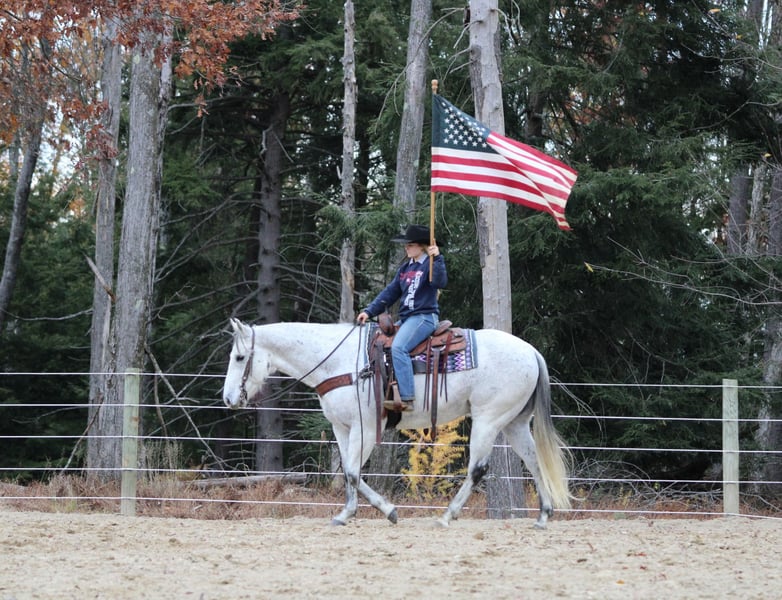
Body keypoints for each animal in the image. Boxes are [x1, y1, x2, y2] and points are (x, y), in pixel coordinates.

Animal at [222, 318, 572, 528]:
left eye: (239, 357)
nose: (227, 398)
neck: (341, 362)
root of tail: (531, 352)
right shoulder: (342, 428)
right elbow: (349, 472)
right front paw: (357, 512)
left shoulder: (363, 428)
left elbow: (352, 471)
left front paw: (373, 511)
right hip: (515, 423)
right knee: (534, 461)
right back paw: (543, 516)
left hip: (488, 420)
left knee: (478, 469)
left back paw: (447, 516)